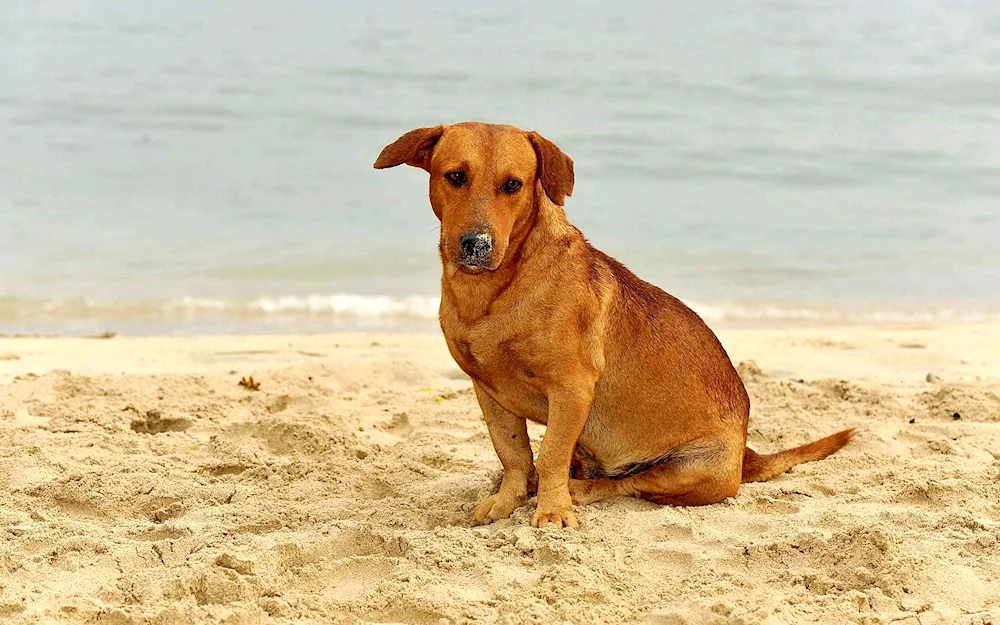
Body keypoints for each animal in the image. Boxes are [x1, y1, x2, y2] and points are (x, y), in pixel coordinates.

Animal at [376, 122, 852, 528]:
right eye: (455, 176)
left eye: (513, 185)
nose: (476, 244)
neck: (494, 290)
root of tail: (745, 454)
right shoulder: (488, 391)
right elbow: (514, 454)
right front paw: (507, 500)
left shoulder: (571, 388)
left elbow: (548, 455)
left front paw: (552, 511)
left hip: (688, 469)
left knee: (627, 484)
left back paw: (579, 489)